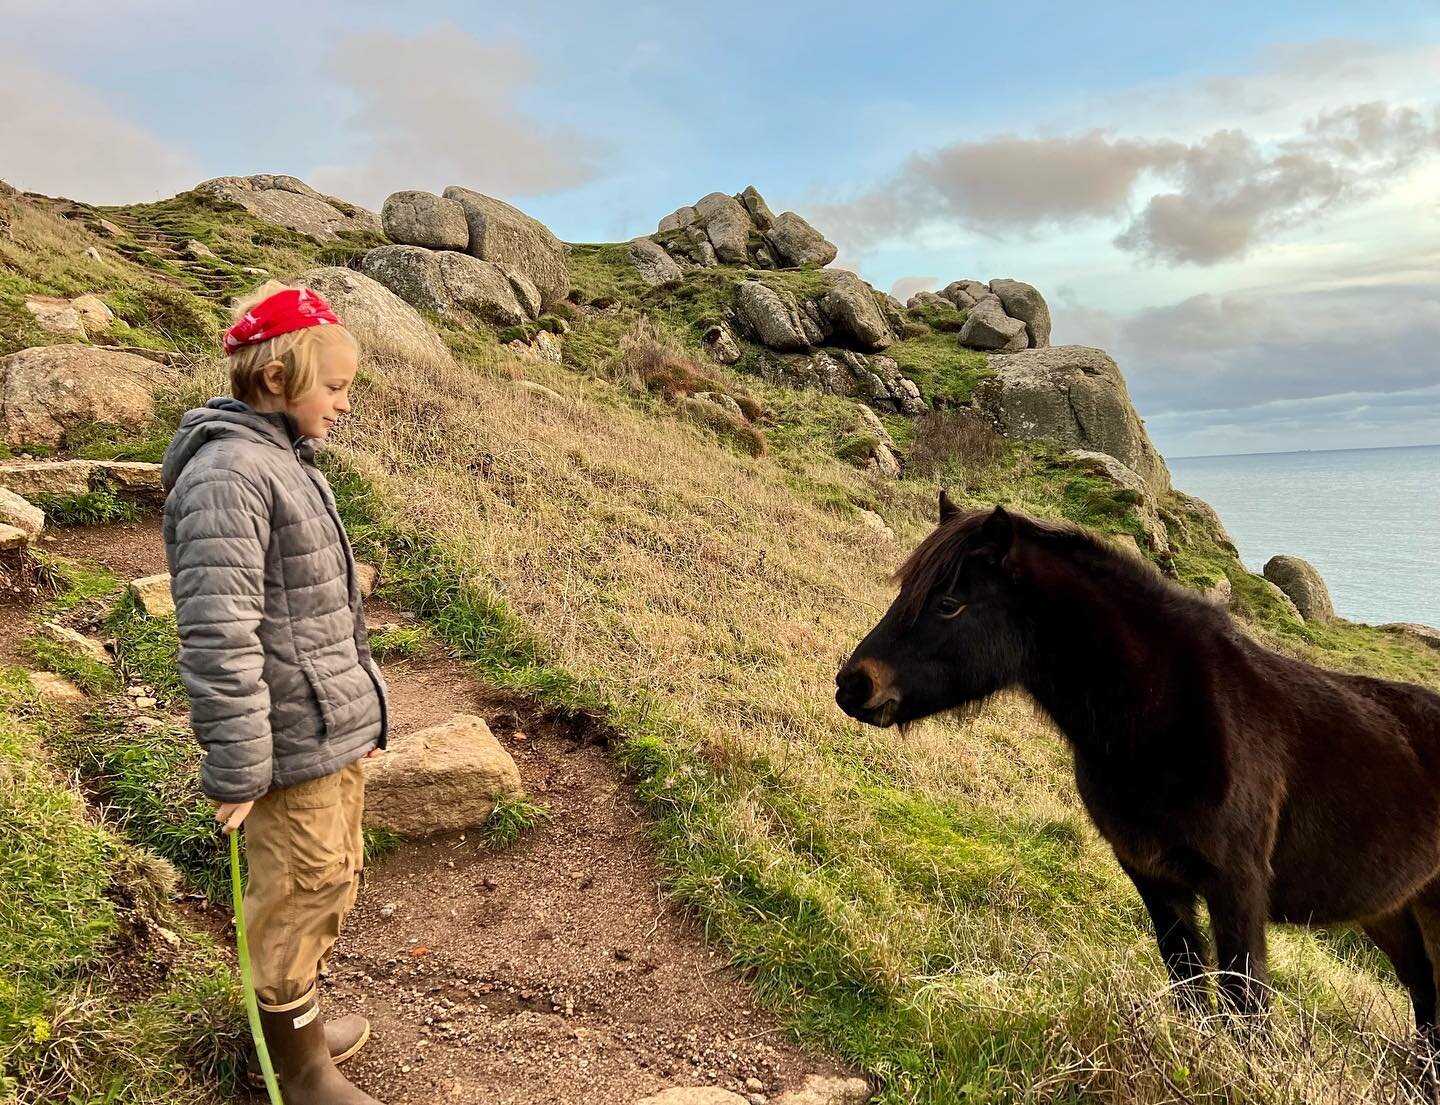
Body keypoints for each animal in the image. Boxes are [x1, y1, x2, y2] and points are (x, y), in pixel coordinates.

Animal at [840, 498, 1440, 1037]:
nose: (853, 685)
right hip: (1394, 915)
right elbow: (1191, 992)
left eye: (948, 604)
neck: (1165, 715)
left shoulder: (1238, 888)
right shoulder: (1155, 881)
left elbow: (1246, 1009)